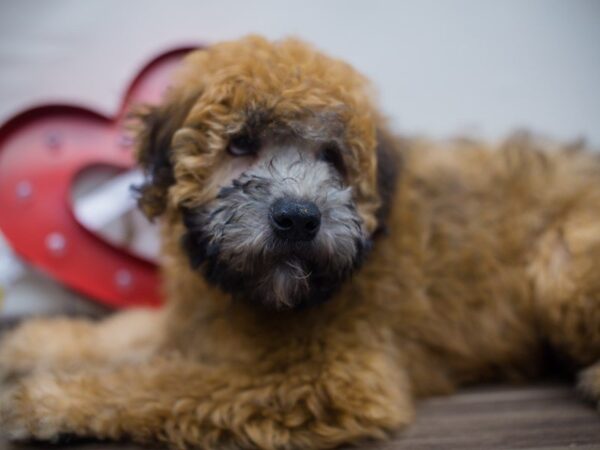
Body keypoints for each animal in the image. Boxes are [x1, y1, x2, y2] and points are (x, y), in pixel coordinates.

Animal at [1, 36, 600, 450]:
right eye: (240, 142)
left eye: (333, 156)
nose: (297, 219)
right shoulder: (194, 321)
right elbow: (122, 335)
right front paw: (29, 347)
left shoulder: (331, 379)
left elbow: (170, 383)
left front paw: (50, 401)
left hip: (562, 258)